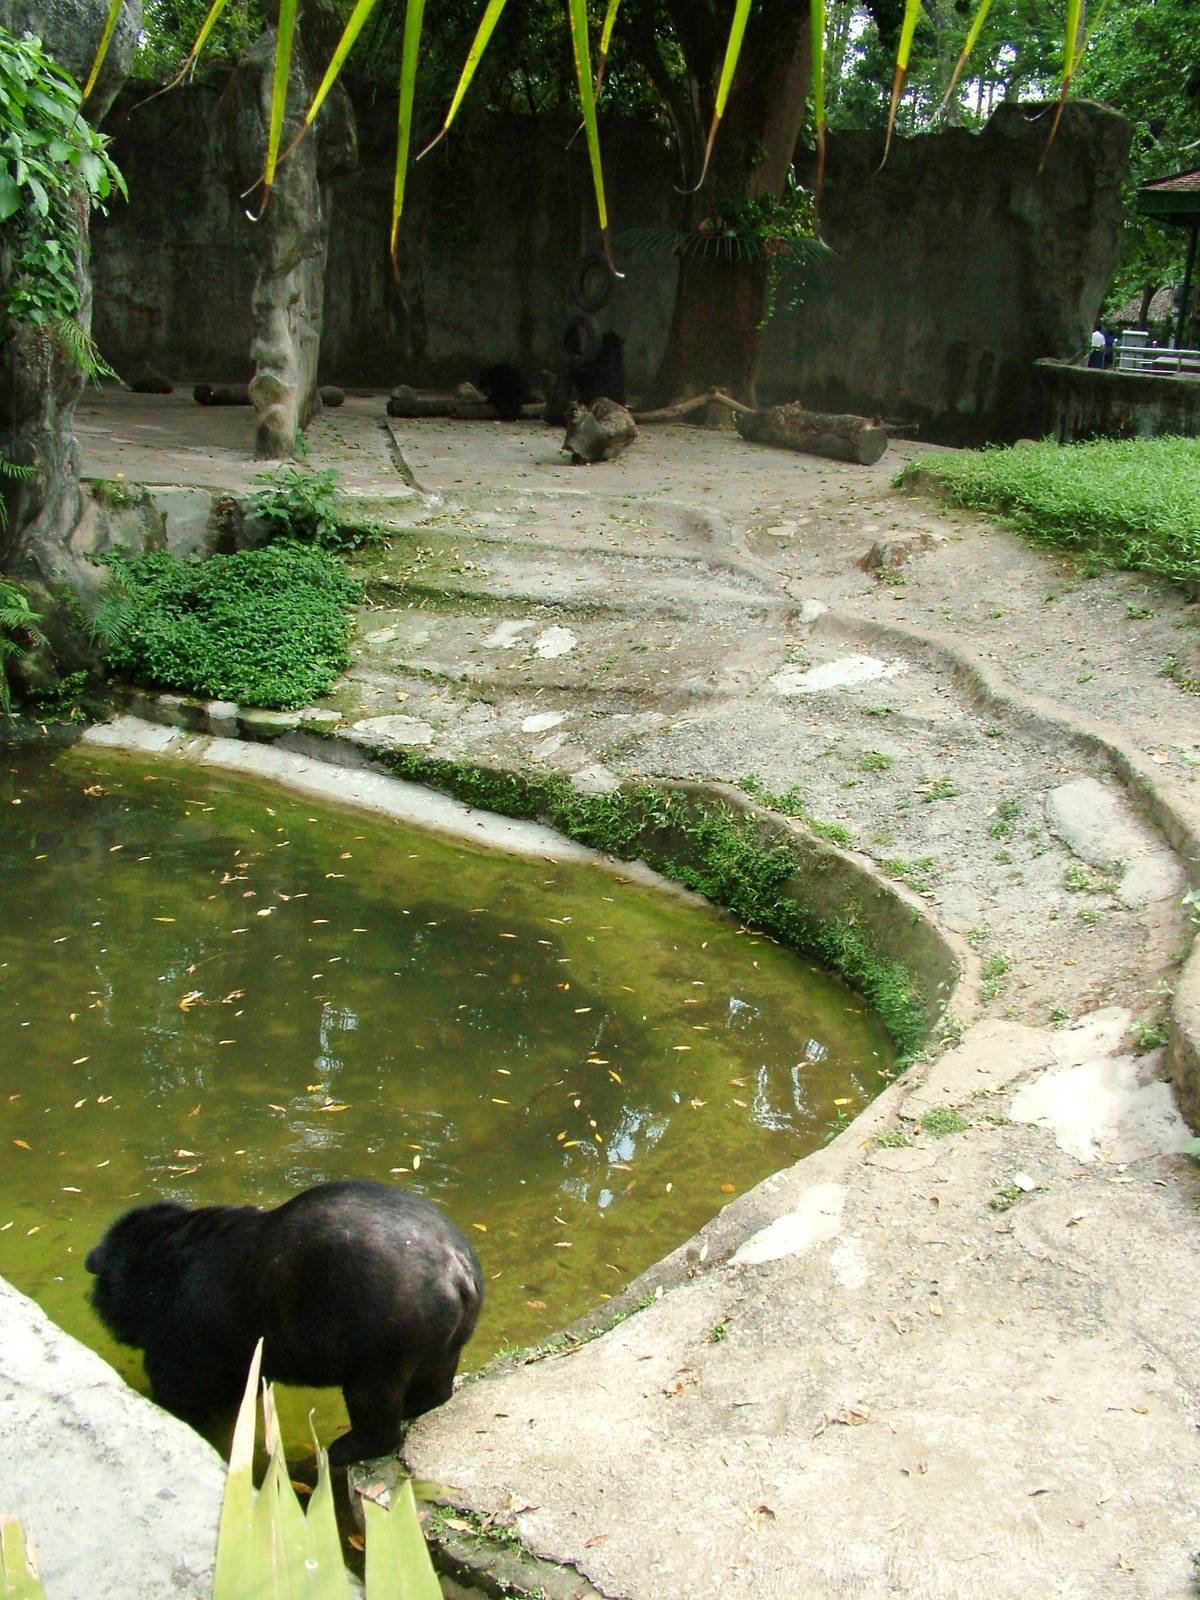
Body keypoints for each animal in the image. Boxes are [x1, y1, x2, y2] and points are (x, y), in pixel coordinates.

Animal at [85, 1179, 483, 1465]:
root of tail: (456, 1270)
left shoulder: (180, 1333)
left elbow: (183, 1390)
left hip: (383, 1333)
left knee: (371, 1400)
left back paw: (343, 1449)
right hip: (442, 1334)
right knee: (436, 1378)